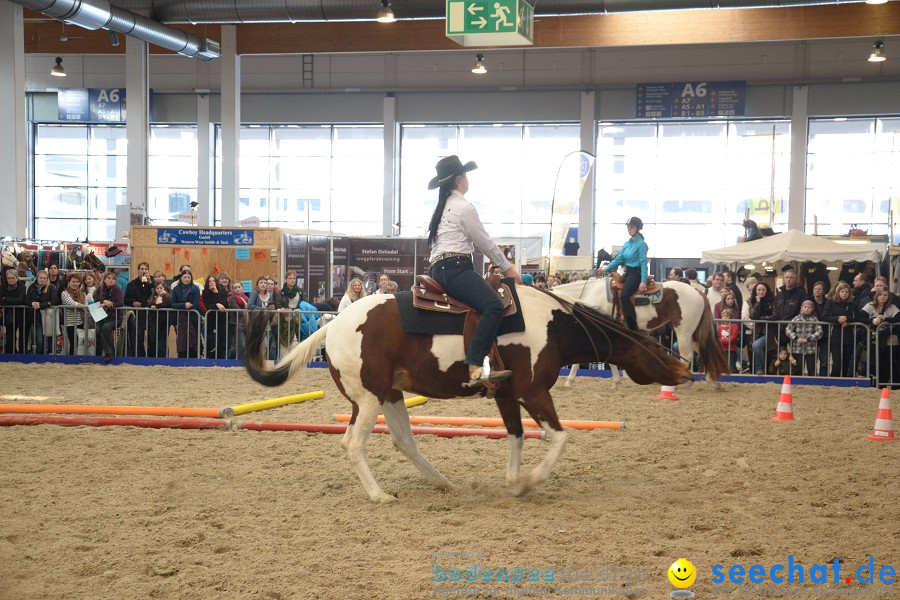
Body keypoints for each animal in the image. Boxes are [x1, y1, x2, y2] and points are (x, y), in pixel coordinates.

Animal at [243, 286, 692, 502]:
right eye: (655, 347)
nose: (685, 369)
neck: (551, 325)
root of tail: (333, 324)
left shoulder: (507, 395)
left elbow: (516, 435)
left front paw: (513, 480)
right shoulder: (533, 392)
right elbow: (559, 436)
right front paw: (529, 483)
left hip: (391, 394)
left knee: (405, 440)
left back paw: (442, 482)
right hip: (368, 399)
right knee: (353, 444)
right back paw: (379, 495)